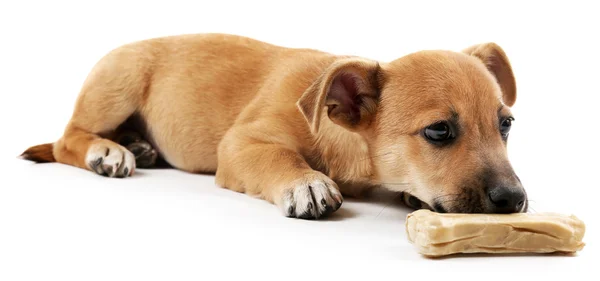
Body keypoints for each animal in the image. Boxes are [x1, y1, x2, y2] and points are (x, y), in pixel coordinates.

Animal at [19, 33, 524, 219]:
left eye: (506, 125)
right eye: (438, 131)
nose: (515, 200)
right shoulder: (242, 144)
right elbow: (277, 155)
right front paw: (306, 183)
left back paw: (138, 146)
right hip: (118, 84)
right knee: (67, 139)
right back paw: (108, 151)